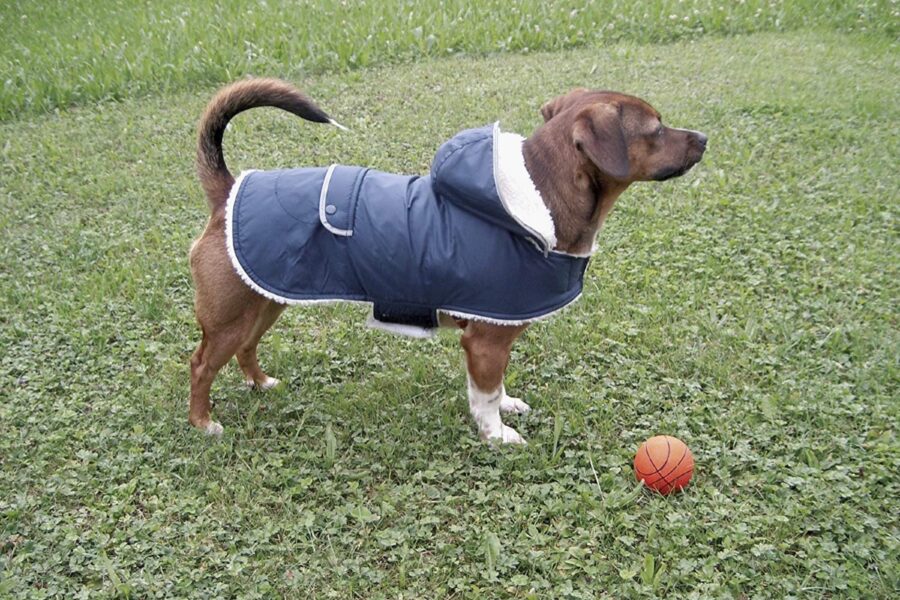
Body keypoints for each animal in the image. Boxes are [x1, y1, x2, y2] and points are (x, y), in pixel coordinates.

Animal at [192, 78, 712, 440]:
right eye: (656, 129)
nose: (705, 138)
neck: (537, 197)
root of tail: (228, 191)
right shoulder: (485, 342)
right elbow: (484, 395)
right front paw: (496, 434)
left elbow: (496, 389)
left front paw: (506, 408)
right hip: (230, 316)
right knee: (201, 365)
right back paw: (203, 423)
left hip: (265, 301)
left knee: (246, 348)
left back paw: (260, 384)